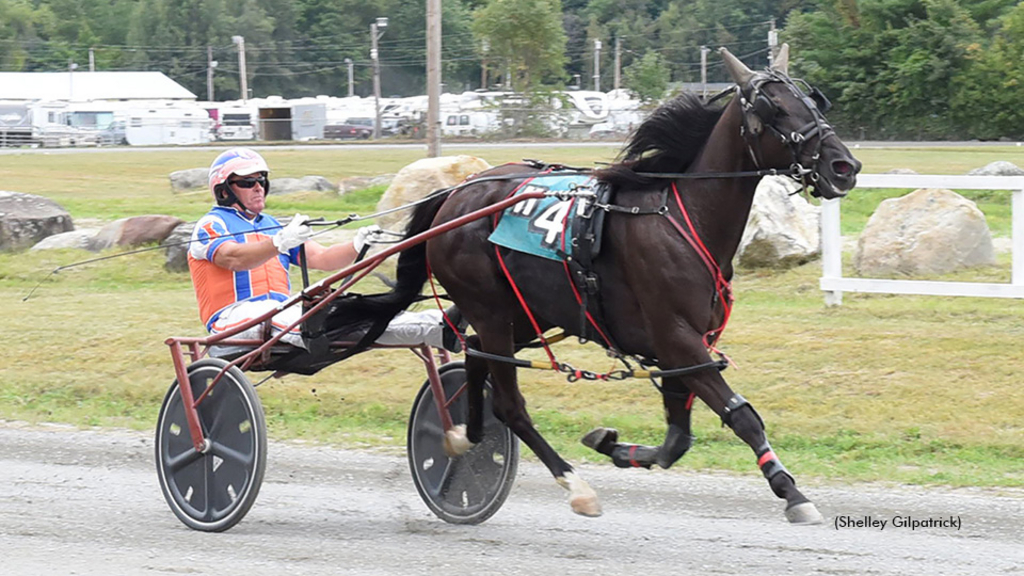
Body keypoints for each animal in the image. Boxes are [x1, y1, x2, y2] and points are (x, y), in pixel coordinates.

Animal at [325, 44, 856, 520]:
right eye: (774, 107)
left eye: (815, 101)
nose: (844, 166)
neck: (680, 218)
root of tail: (456, 195)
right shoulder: (677, 338)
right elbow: (740, 415)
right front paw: (790, 491)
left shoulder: (683, 349)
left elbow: (677, 438)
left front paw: (615, 445)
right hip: (491, 306)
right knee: (509, 402)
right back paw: (572, 484)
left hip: (522, 313)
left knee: (474, 355)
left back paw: (461, 436)